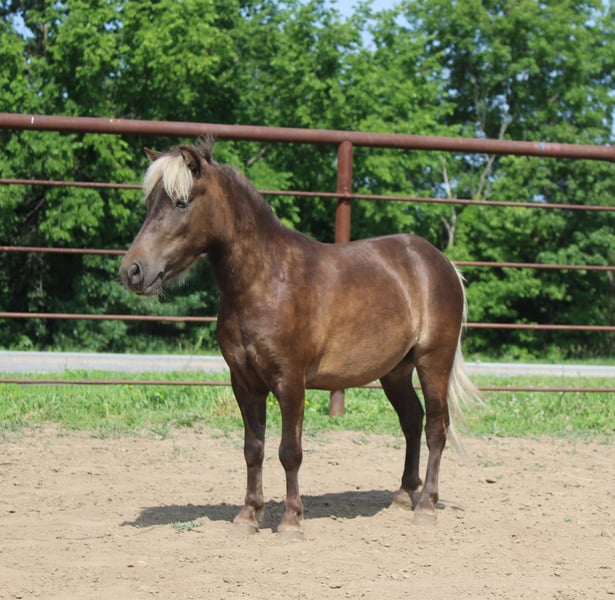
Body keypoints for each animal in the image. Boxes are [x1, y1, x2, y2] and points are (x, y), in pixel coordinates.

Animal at [119, 140, 479, 538]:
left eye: (181, 202)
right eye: (150, 204)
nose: (132, 271)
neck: (266, 281)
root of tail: (441, 263)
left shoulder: (290, 381)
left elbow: (289, 451)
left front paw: (292, 519)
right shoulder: (245, 383)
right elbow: (253, 448)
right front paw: (248, 516)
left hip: (434, 362)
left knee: (435, 428)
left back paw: (426, 505)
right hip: (395, 371)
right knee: (412, 421)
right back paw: (402, 497)